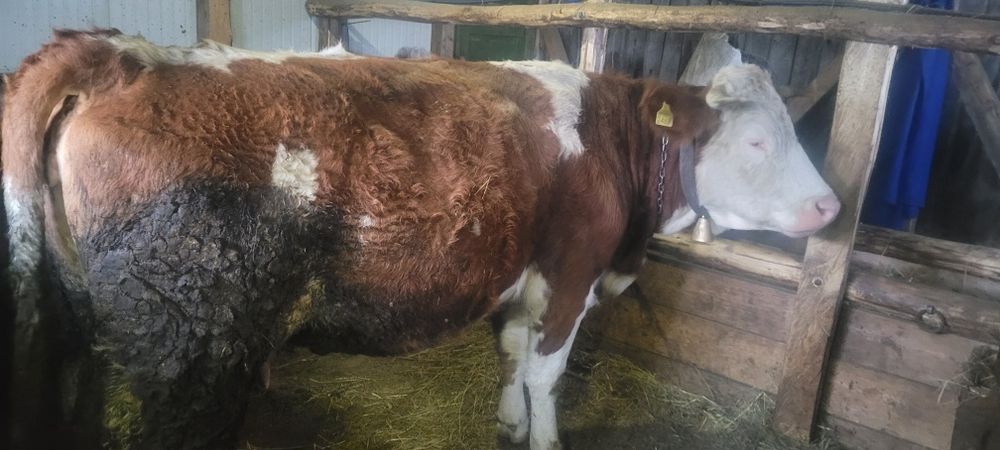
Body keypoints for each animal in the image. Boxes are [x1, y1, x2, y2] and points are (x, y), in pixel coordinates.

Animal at [2, 29, 839, 449]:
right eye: (759, 140)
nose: (831, 206)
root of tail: (126, 57)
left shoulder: (519, 275)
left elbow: (511, 355)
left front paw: (507, 423)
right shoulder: (572, 272)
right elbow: (546, 373)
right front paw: (542, 438)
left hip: (77, 328)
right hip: (187, 344)